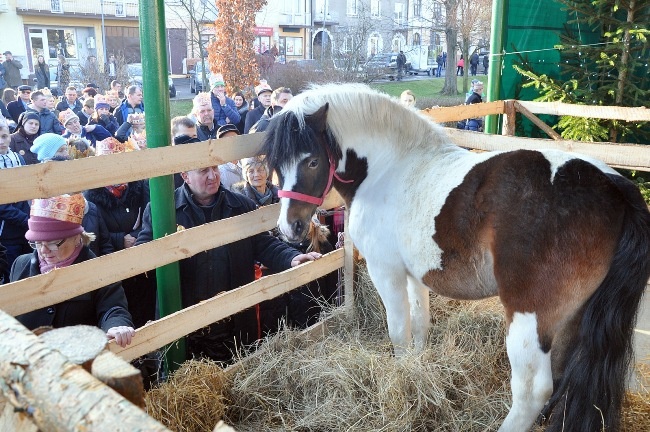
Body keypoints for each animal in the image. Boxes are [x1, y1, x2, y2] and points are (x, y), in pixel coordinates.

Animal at [260, 82, 648, 430]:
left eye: (312, 161)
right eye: (277, 163)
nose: (290, 228)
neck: (390, 168)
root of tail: (614, 186)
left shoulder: (387, 272)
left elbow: (398, 332)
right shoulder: (414, 275)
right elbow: (420, 325)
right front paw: (417, 368)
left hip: (530, 319)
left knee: (532, 391)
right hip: (573, 318)